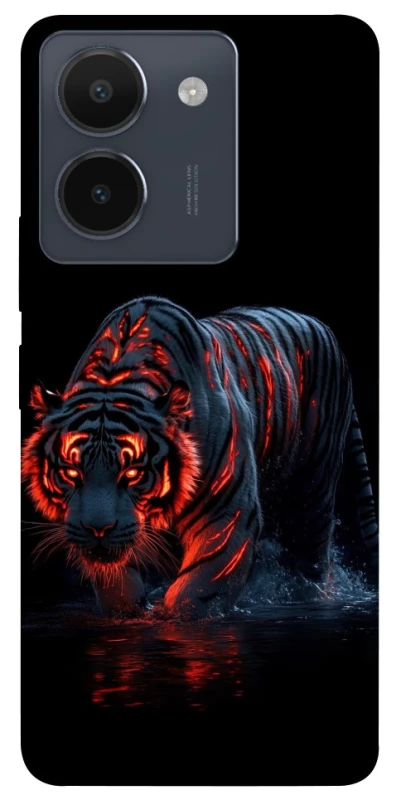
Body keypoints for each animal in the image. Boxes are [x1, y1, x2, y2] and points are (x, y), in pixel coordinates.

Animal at [22, 296, 378, 618]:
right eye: (71, 473)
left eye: (132, 474)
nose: (98, 531)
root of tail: (323, 327)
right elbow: (117, 586)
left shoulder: (226, 511)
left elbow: (199, 589)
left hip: (311, 491)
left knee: (311, 561)